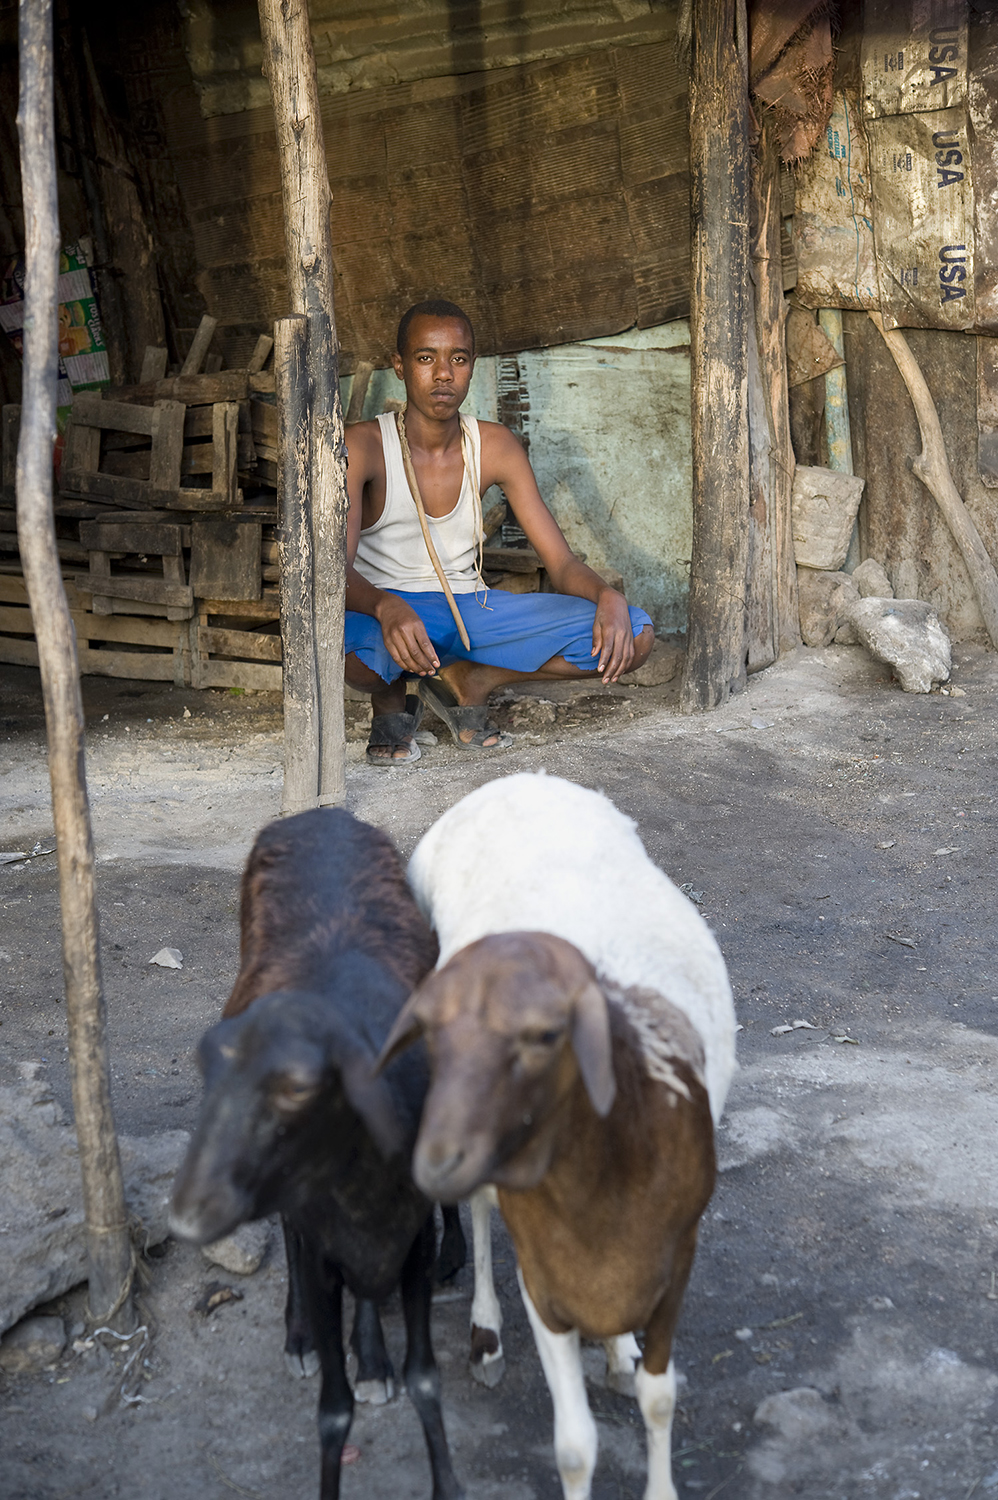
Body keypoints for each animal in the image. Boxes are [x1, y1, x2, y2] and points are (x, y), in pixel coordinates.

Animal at [170, 810, 462, 1500]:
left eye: (299, 1086)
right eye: (207, 1069)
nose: (189, 1211)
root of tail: (319, 813)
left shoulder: (413, 1236)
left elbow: (423, 1376)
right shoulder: (322, 1235)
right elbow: (333, 1410)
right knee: (292, 1240)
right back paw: (300, 1334)